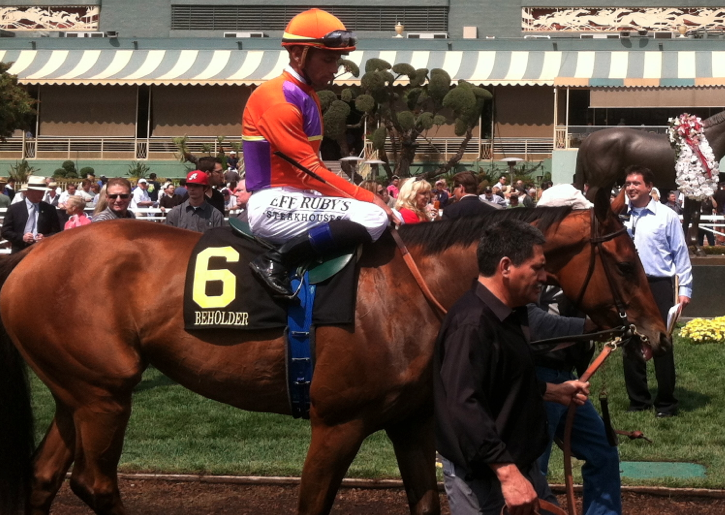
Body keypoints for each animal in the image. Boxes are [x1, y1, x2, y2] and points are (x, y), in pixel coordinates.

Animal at [0, 190, 668, 515]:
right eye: (624, 262)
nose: (657, 332)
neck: (408, 294)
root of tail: (30, 255)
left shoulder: (413, 422)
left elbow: (426, 501)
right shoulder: (337, 424)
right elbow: (313, 502)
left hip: (80, 392)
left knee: (44, 475)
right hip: (104, 395)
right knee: (93, 483)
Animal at [580, 111, 725, 252]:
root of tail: (589, 138)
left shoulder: (689, 189)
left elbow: (687, 215)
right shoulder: (698, 188)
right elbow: (695, 215)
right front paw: (698, 248)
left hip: (605, 185)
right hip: (597, 184)